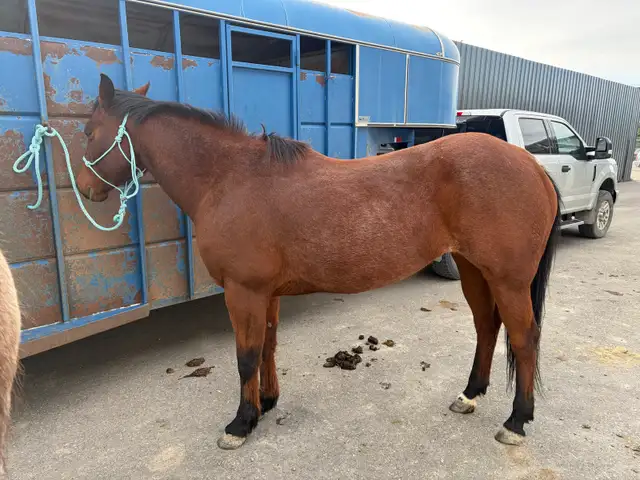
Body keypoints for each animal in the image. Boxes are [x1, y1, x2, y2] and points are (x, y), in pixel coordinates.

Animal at [76, 73, 561, 450]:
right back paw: (470, 395)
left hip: (509, 279)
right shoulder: (264, 293)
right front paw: (266, 403)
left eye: (87, 130)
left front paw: (241, 423)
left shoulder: (243, 292)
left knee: (524, 338)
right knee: (487, 327)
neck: (229, 178)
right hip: (474, 270)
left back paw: (517, 421)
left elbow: (246, 355)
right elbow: (267, 347)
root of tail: (532, 164)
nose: (84, 188)